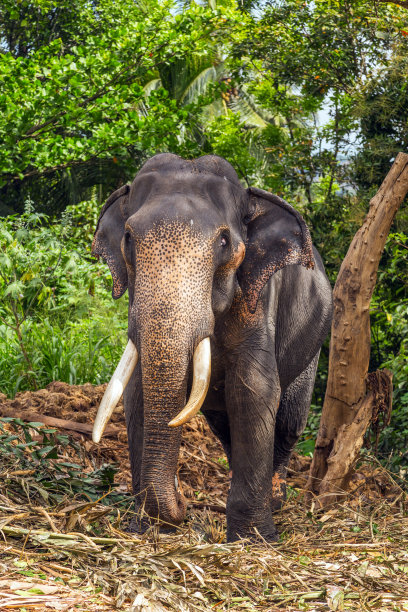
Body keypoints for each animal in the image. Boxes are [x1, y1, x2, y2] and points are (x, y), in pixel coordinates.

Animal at [91, 155, 334, 544]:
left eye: (223, 240)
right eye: (128, 238)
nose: (183, 506)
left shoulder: (256, 300)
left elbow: (253, 390)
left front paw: (254, 539)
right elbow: (136, 392)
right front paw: (146, 528)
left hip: (313, 347)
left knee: (288, 422)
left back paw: (276, 500)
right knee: (224, 426)